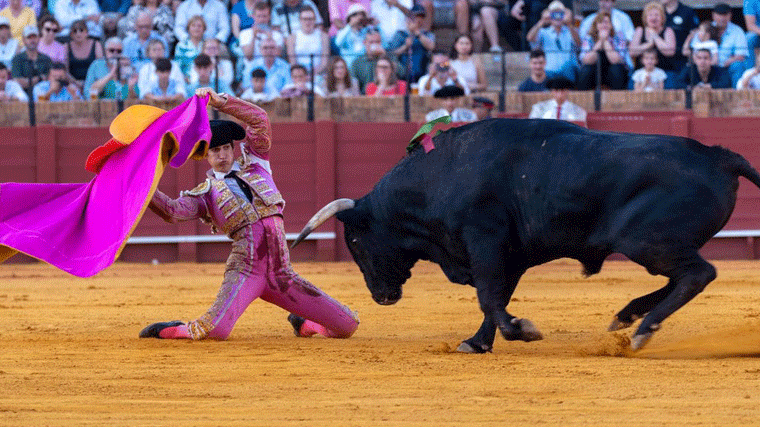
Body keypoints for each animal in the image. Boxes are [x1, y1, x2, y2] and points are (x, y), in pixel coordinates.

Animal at [290, 118, 760, 352]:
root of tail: (719, 156)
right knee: (682, 278)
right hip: (655, 246)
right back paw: (627, 317)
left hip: (647, 242)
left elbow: (489, 296)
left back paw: (643, 329)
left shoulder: (485, 241)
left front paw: (521, 330)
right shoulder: (509, 255)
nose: (381, 297)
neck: (438, 176)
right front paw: (477, 343)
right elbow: (496, 297)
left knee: (697, 275)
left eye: (354, 242)